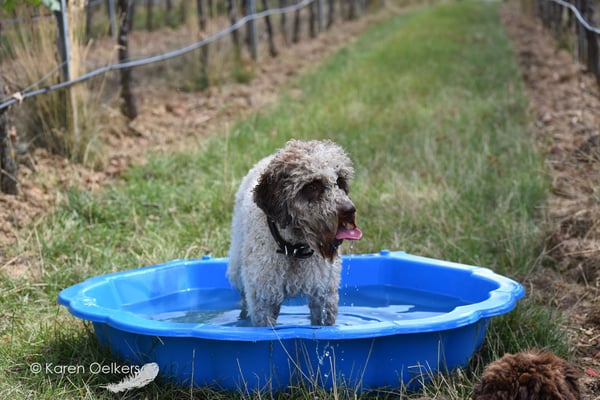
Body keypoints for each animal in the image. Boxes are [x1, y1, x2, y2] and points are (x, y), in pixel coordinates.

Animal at [227, 139, 362, 327]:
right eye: (312, 186)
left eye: (340, 181)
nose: (349, 210)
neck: (293, 248)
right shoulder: (263, 300)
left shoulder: (324, 296)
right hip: (237, 270)